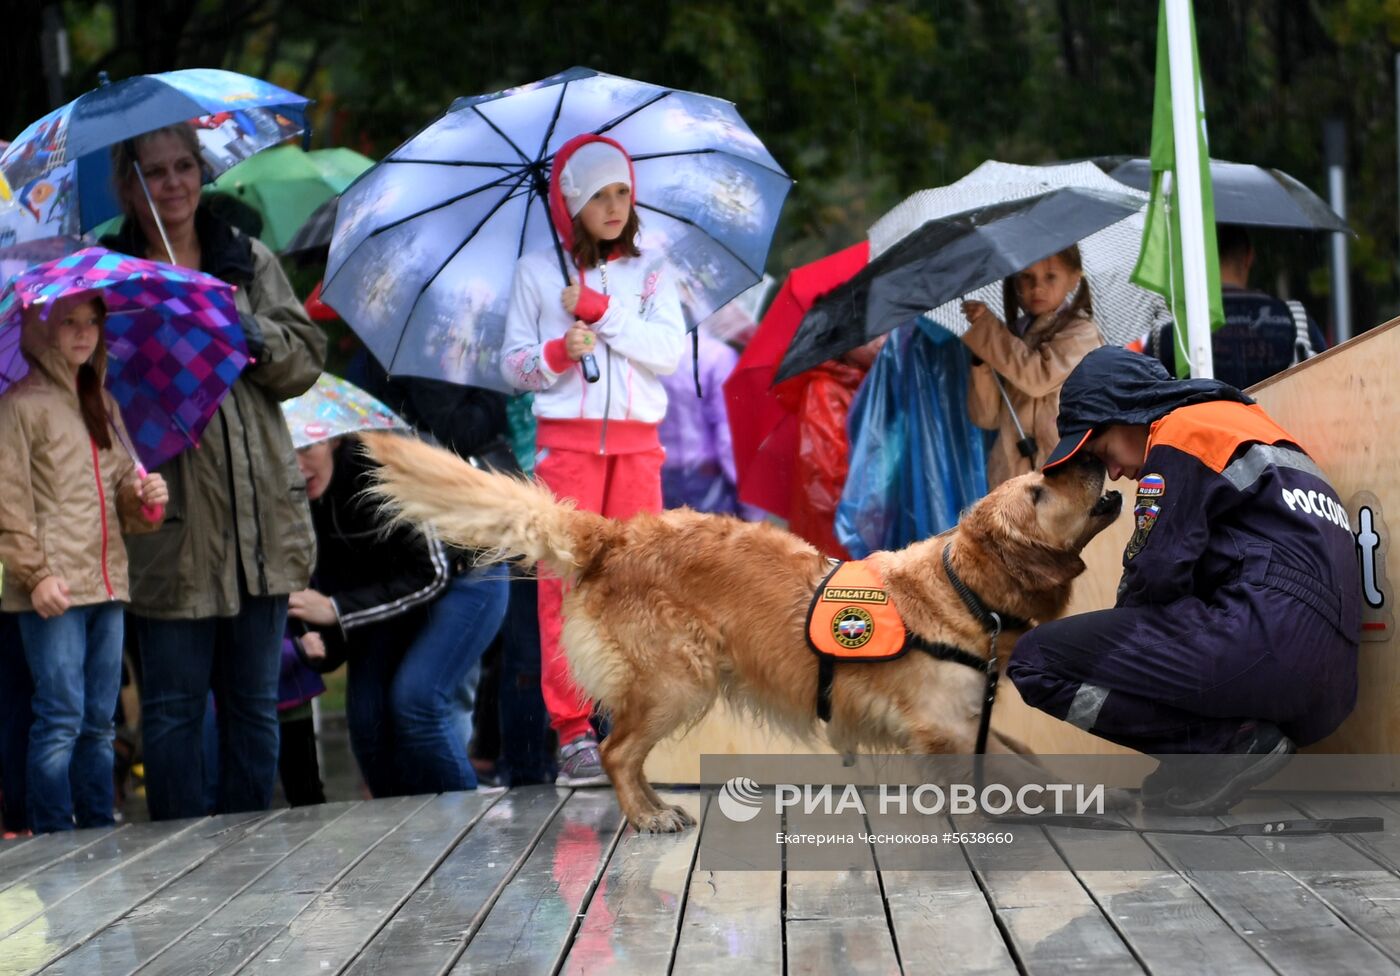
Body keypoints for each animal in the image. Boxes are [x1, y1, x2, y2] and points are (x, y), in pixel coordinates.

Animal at [364, 434, 1125, 828]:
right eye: (1038, 490)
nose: (1092, 456)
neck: (962, 590)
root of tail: (613, 536)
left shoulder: (973, 721)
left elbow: (1031, 764)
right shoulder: (945, 730)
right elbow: (1007, 781)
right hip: (680, 681)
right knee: (615, 752)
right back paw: (648, 816)